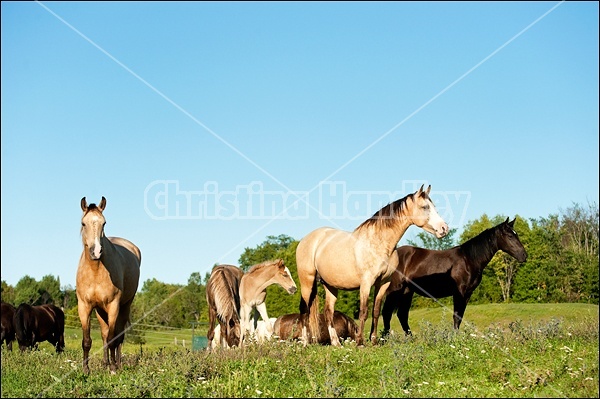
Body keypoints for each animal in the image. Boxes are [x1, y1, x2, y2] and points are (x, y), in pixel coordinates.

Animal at [77, 198, 141, 376]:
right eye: (83, 223)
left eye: (104, 223)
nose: (96, 251)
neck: (95, 270)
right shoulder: (84, 306)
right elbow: (87, 340)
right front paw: (86, 369)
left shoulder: (113, 305)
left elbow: (114, 338)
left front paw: (113, 369)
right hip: (100, 310)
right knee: (105, 335)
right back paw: (106, 362)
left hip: (125, 306)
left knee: (118, 336)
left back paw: (116, 364)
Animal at [382, 217, 528, 336]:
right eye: (509, 235)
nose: (524, 255)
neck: (469, 259)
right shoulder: (459, 292)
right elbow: (456, 316)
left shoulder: (468, 293)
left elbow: (460, 316)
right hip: (395, 289)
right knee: (387, 313)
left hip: (407, 291)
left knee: (402, 315)